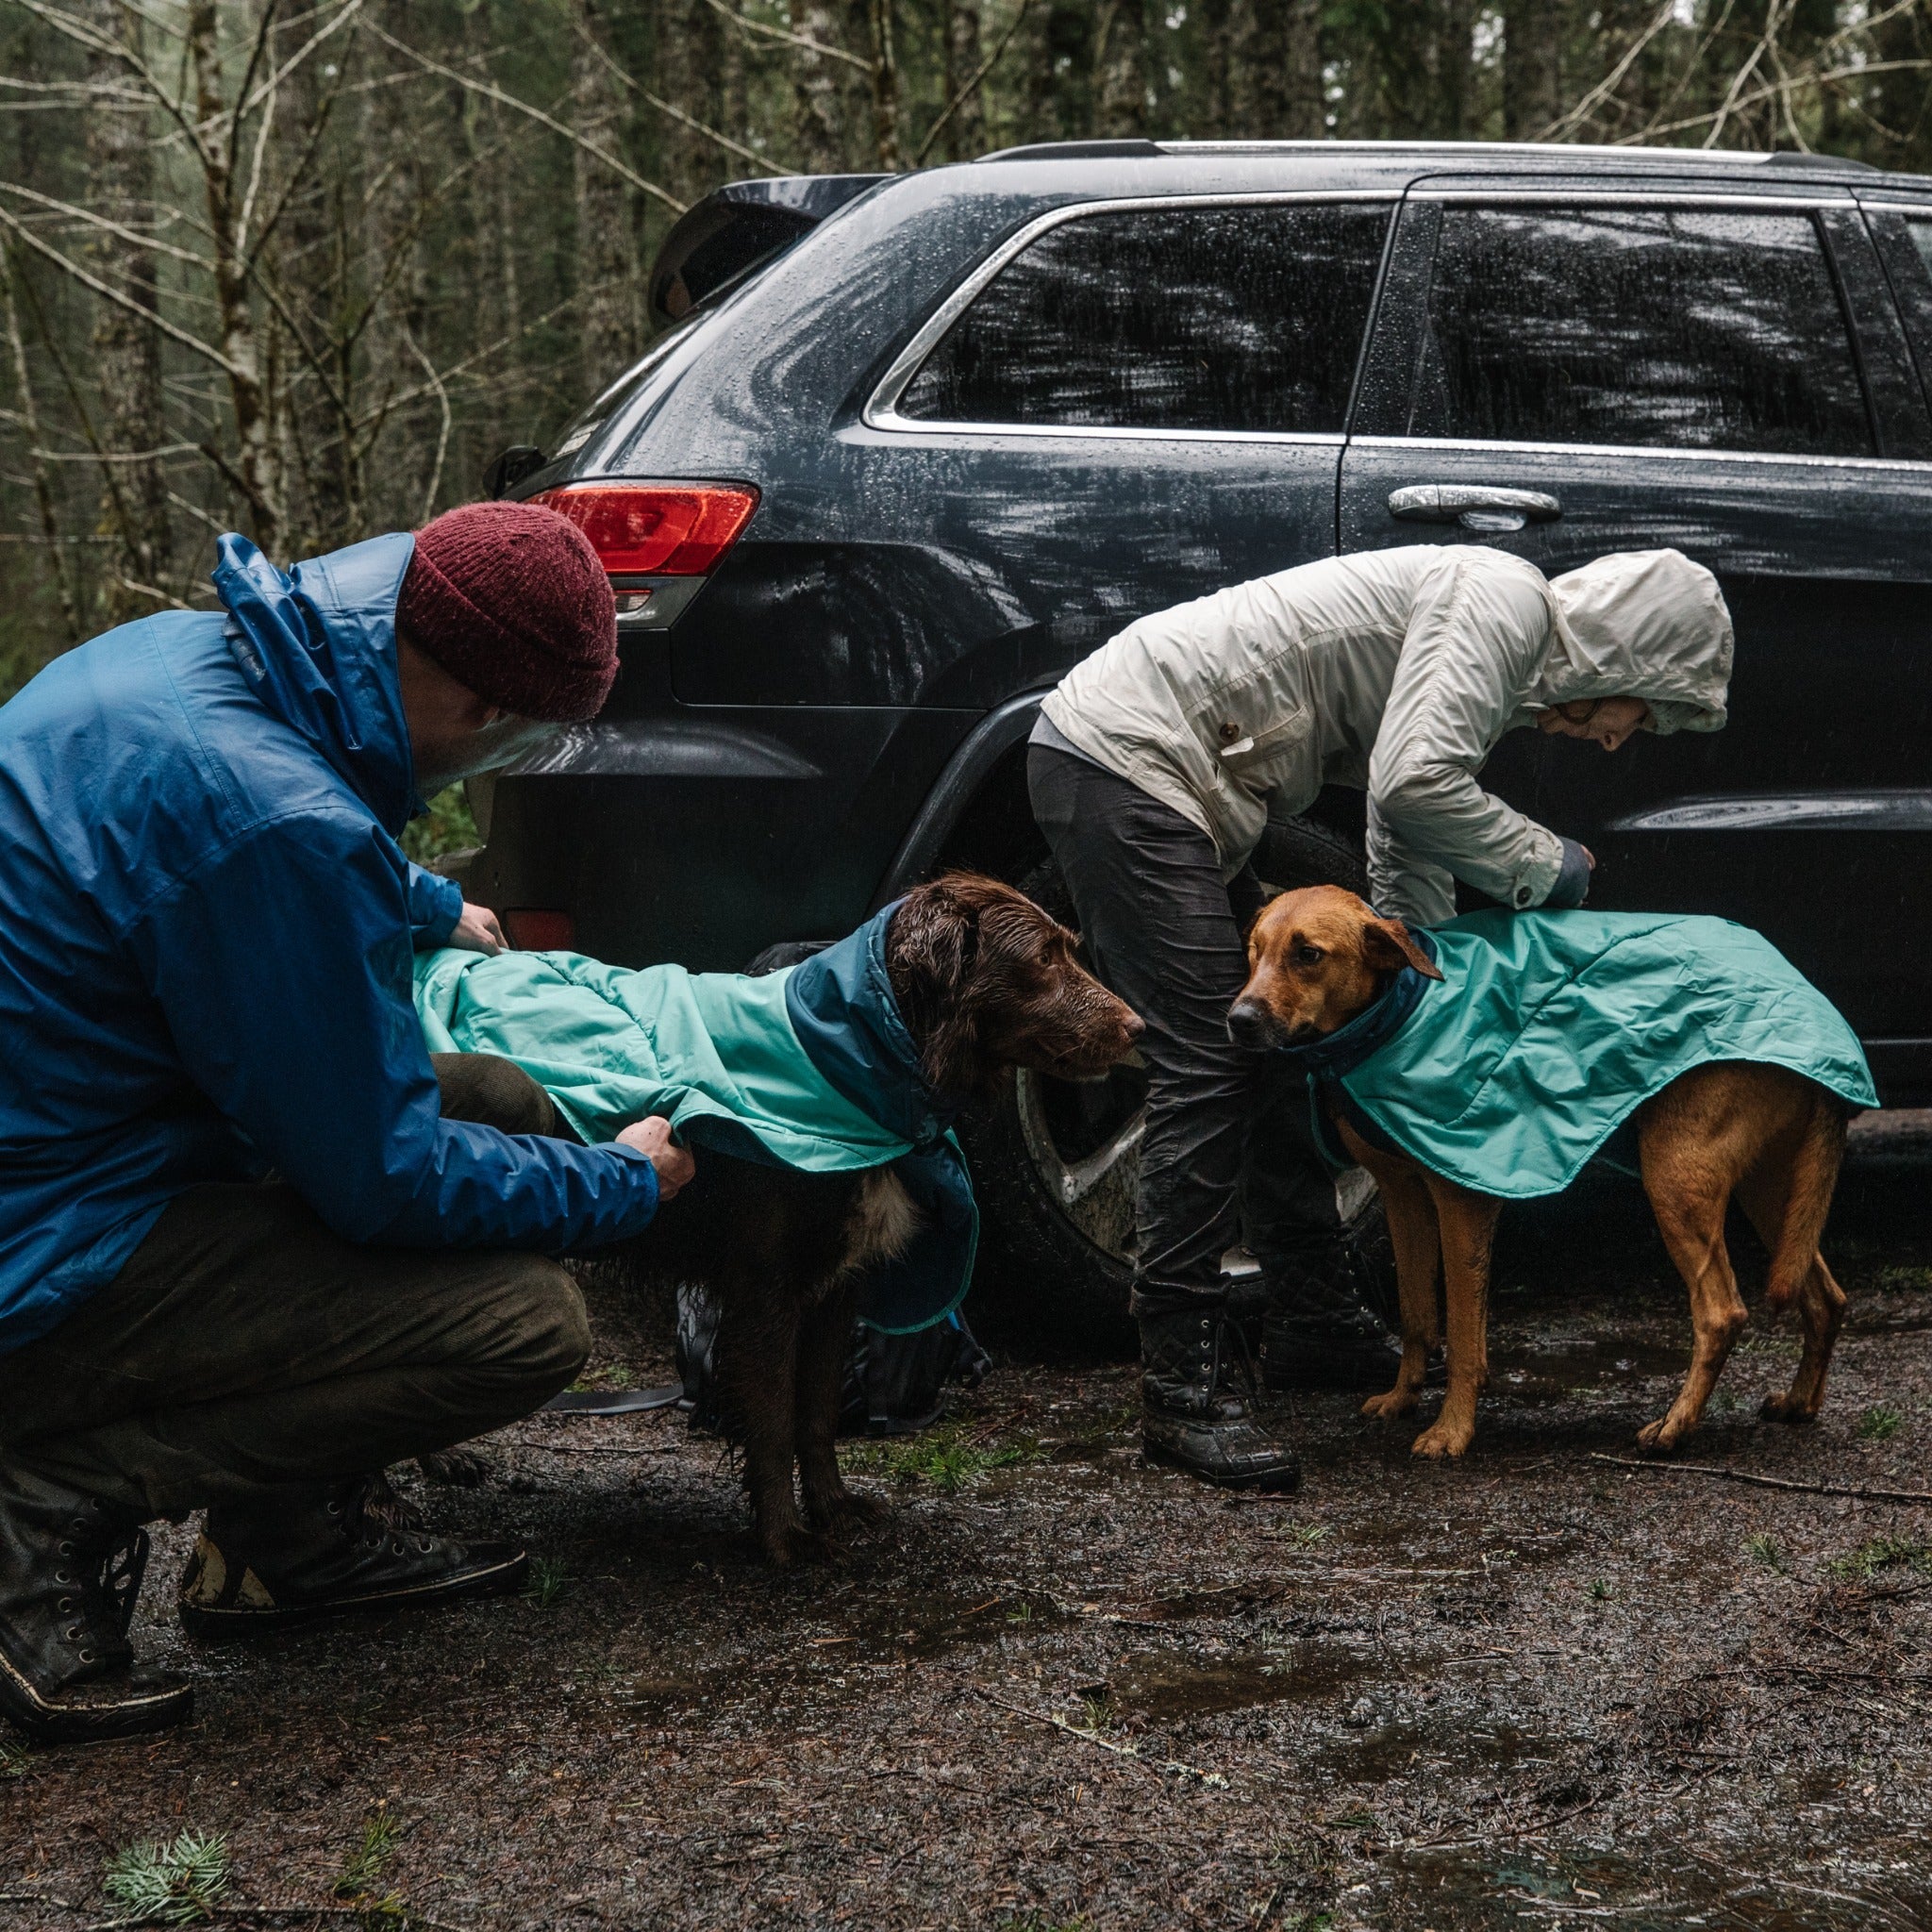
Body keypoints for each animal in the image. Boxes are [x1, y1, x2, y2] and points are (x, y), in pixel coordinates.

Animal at [1228, 889, 1846, 1460]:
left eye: (1308, 954)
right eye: (1253, 952)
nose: (1238, 1021)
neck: (1402, 1009)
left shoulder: (1461, 1201)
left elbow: (1464, 1335)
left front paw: (1452, 1430)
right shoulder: (1403, 1196)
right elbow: (1417, 1314)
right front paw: (1403, 1398)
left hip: (1677, 1180)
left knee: (1721, 1313)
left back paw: (1675, 1427)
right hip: (1773, 1192)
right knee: (1826, 1296)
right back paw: (1798, 1402)